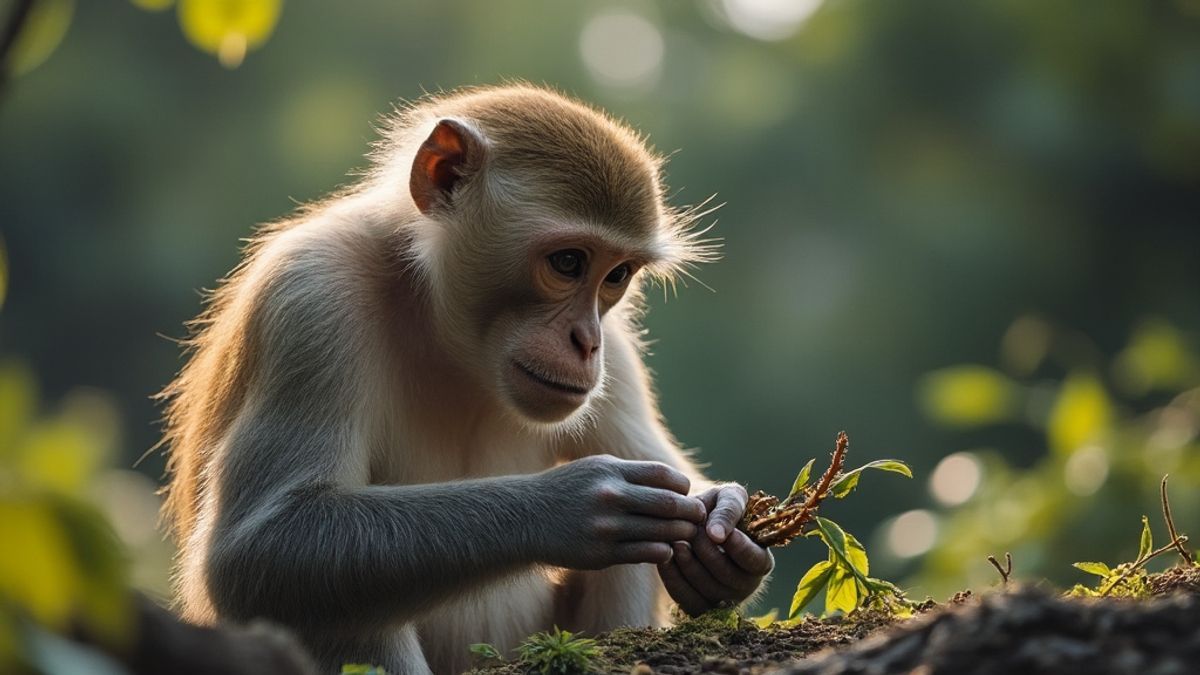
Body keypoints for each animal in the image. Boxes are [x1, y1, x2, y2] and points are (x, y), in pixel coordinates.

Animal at [159, 84, 773, 674]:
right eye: (568, 262)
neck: (443, 331)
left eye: (616, 275)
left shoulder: (616, 354)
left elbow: (670, 483)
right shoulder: (311, 296)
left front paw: (724, 533)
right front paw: (569, 506)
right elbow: (255, 552)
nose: (586, 341)